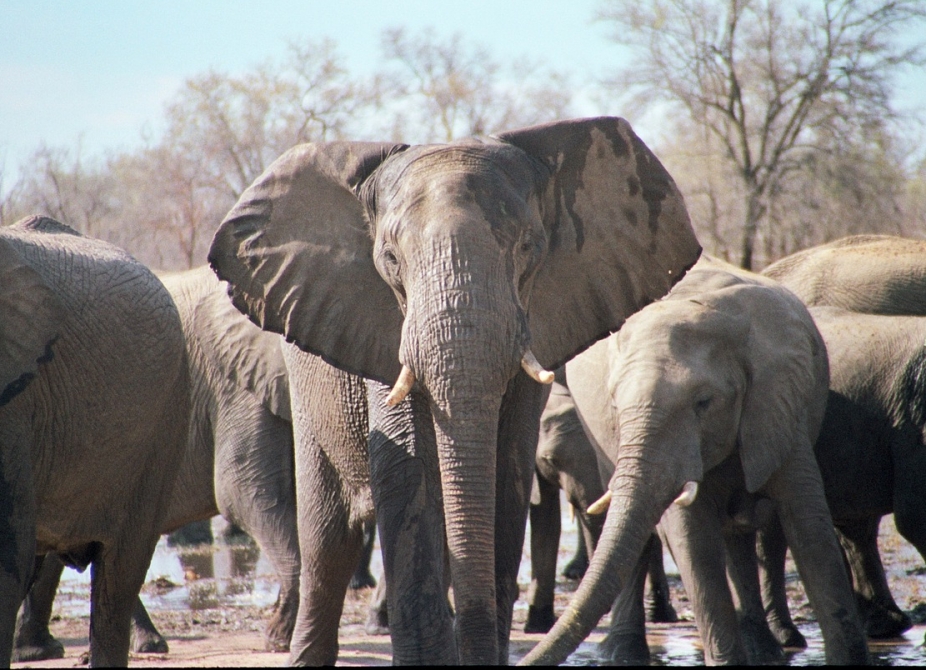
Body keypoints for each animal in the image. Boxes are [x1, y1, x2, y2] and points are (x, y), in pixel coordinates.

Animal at [210, 117, 704, 668]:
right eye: (389, 258)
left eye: (528, 248)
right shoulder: (380, 324)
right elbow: (413, 472)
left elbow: (506, 474)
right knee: (327, 543)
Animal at [524, 256, 872, 668]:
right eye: (615, 405)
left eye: (704, 403)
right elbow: (693, 541)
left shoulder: (780, 407)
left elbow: (810, 530)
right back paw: (622, 654)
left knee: (737, 534)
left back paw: (764, 650)